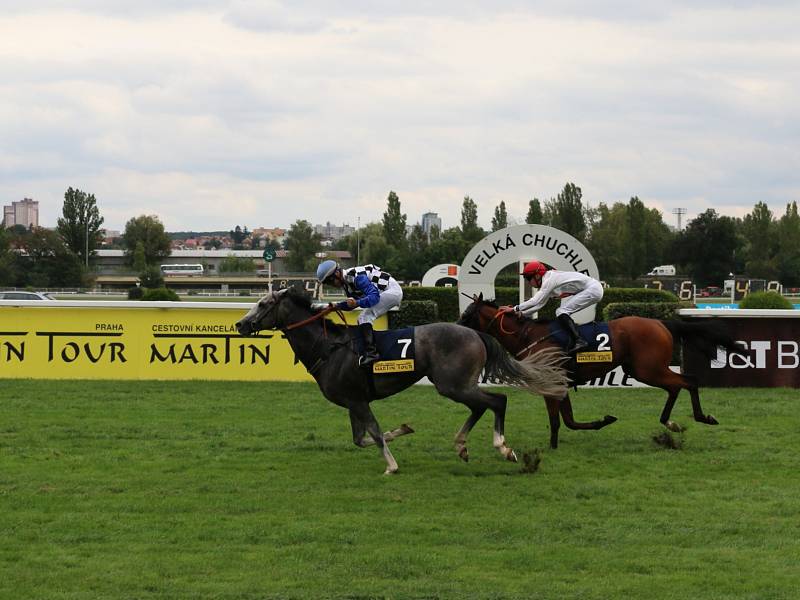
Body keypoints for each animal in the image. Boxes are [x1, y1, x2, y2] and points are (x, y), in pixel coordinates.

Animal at [236, 288, 568, 476]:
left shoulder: (357, 400)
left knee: (498, 401)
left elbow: (374, 433)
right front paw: (403, 430)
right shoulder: (352, 402)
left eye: (263, 304)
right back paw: (461, 446)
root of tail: (476, 333)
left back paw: (503, 448)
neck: (328, 347)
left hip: (452, 384)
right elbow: (362, 439)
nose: (240, 324)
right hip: (456, 385)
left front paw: (391, 466)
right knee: (480, 407)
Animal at [460, 296, 748, 450]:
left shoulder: (551, 382)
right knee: (676, 385)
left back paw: (700, 417)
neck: (528, 336)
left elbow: (558, 420)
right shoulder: (560, 384)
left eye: (468, 314)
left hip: (648, 369)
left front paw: (552, 447)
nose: (455, 328)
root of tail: (661, 323)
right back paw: (670, 423)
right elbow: (568, 420)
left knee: (688, 381)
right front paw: (603, 421)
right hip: (643, 369)